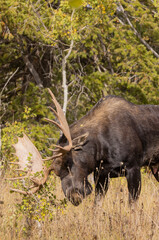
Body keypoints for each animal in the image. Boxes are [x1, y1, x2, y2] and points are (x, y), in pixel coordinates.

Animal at [11, 89, 159, 205]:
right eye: (57, 174)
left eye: (68, 163)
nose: (74, 197)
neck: (102, 150)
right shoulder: (101, 174)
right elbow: (96, 206)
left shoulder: (133, 167)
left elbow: (132, 204)